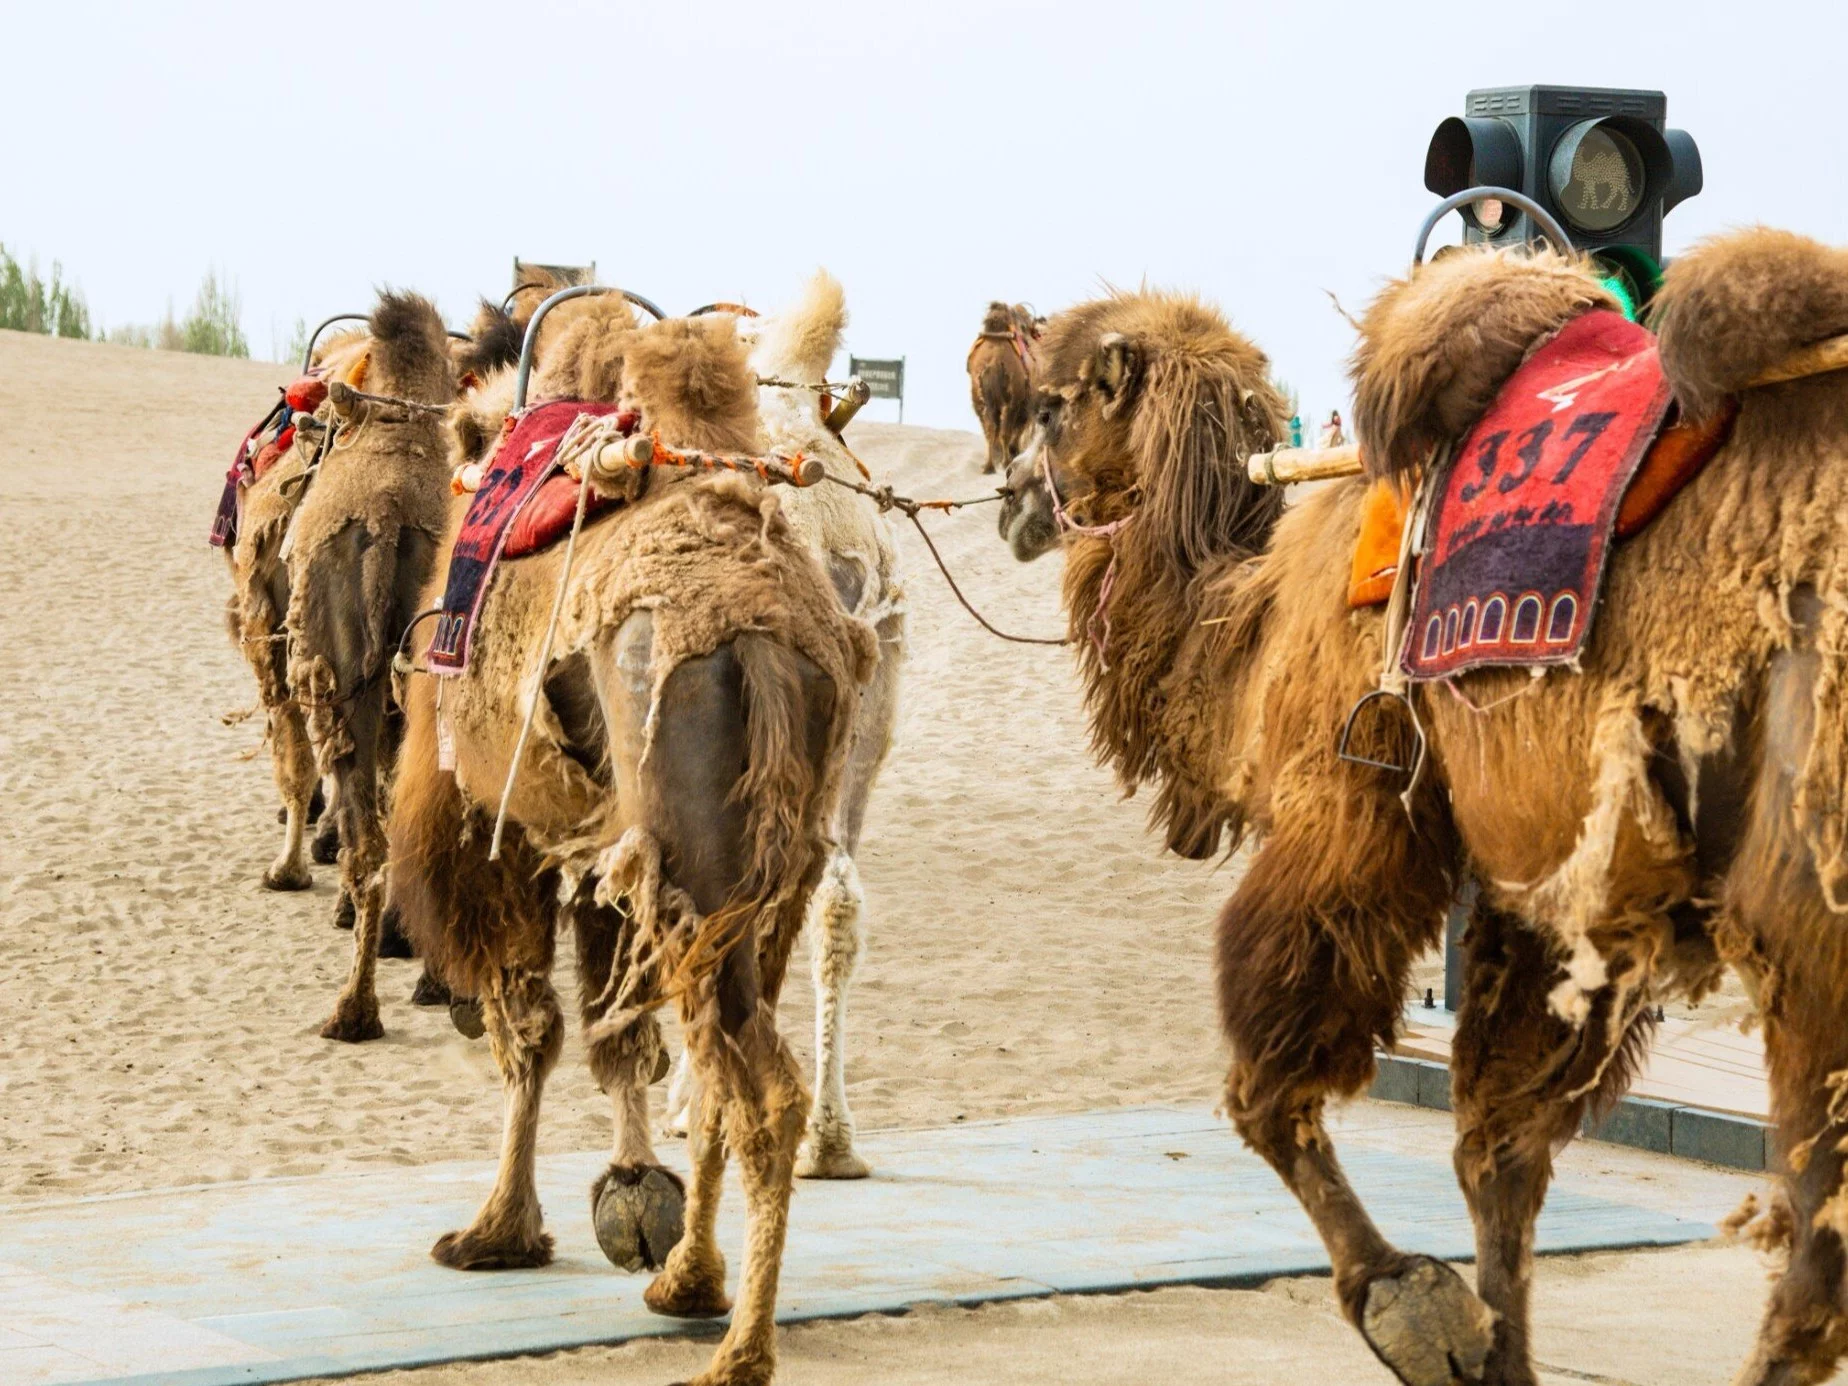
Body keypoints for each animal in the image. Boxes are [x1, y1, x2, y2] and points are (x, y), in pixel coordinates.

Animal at [391, 295, 872, 1386]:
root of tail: (763, 638)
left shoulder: (505, 831)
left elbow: (531, 1028)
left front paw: (496, 1232)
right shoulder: (598, 841)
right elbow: (618, 1036)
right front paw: (627, 1202)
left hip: (685, 845)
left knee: (752, 1082)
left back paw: (737, 1350)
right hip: (761, 872)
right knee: (727, 1057)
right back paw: (692, 1284)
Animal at [968, 301, 1042, 476]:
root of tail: (993, 362)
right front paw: (1014, 451)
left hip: (982, 396)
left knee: (991, 427)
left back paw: (989, 466)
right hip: (1013, 397)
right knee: (1005, 428)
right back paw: (1005, 461)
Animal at [1005, 233, 1848, 1382]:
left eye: (1049, 406)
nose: (1012, 499)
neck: (1253, 620)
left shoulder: (1350, 800)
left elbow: (1272, 1084)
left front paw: (1407, 1304)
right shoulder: (1547, 873)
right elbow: (1500, 1144)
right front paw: (1497, 1351)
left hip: (1810, 854)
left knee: (1818, 1233)